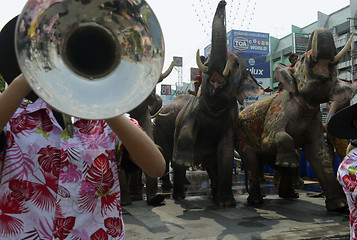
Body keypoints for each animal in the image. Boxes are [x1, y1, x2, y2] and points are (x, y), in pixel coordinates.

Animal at [153, 0, 264, 207]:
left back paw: (210, 195)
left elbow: (225, 151)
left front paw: (226, 203)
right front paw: (185, 161)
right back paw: (176, 194)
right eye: (209, 55)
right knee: (167, 154)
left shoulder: (231, 120)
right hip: (160, 129)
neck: (214, 108)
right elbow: (186, 132)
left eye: (237, 64)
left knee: (211, 165)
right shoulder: (191, 112)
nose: (223, 1)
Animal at [235, 28, 352, 212]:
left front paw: (339, 206)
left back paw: (289, 193)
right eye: (303, 58)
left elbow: (319, 153)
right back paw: (256, 200)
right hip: (241, 137)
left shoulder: (315, 122)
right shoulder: (278, 111)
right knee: (252, 161)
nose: (320, 30)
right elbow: (269, 140)